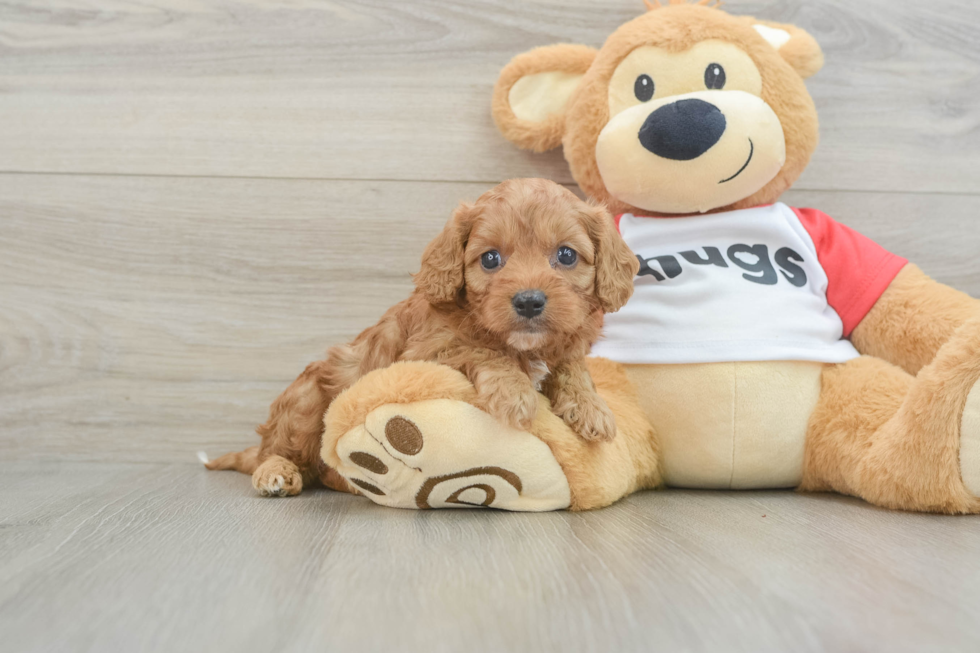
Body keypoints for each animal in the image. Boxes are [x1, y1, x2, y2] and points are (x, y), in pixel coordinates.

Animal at [203, 178, 640, 494]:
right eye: (490, 259)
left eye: (566, 255)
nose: (529, 302)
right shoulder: (426, 353)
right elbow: (481, 350)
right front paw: (515, 392)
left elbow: (571, 365)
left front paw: (591, 407)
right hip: (305, 400)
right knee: (279, 451)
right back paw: (275, 473)